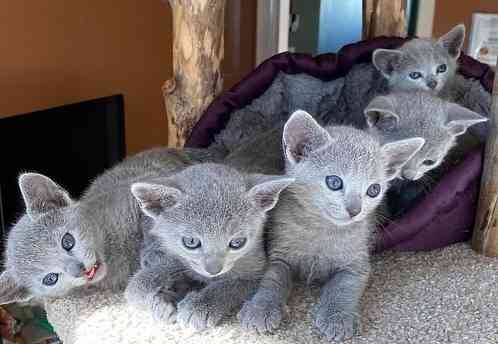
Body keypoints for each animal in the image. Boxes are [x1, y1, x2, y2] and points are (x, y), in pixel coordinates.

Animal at [125, 163, 296, 330]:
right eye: (191, 241)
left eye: (237, 242)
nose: (213, 271)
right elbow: (175, 263)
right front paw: (148, 283)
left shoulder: (256, 273)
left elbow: (229, 285)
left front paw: (200, 306)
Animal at [238, 111, 424, 340]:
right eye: (334, 182)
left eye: (373, 190)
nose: (355, 210)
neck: (323, 229)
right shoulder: (279, 253)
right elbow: (272, 279)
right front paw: (261, 307)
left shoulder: (357, 263)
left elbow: (344, 286)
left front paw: (337, 317)